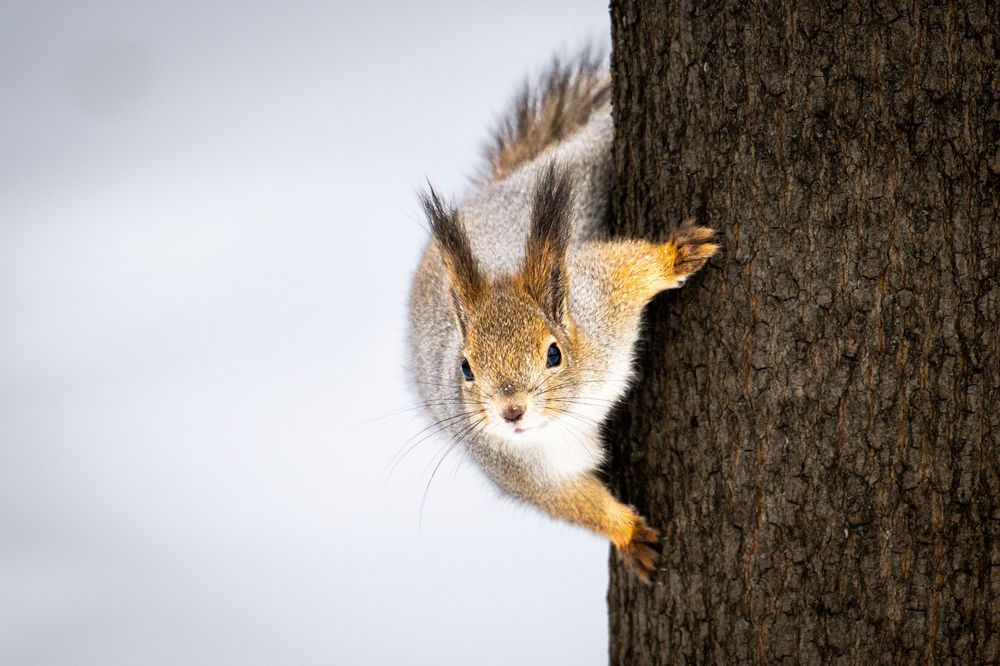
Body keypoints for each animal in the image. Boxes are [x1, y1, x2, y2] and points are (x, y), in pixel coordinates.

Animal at [407, 50, 719, 583]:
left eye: (554, 354)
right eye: (466, 369)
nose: (511, 412)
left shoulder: (599, 302)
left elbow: (628, 270)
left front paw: (672, 256)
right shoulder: (524, 469)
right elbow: (573, 501)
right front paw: (628, 534)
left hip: (583, 167)